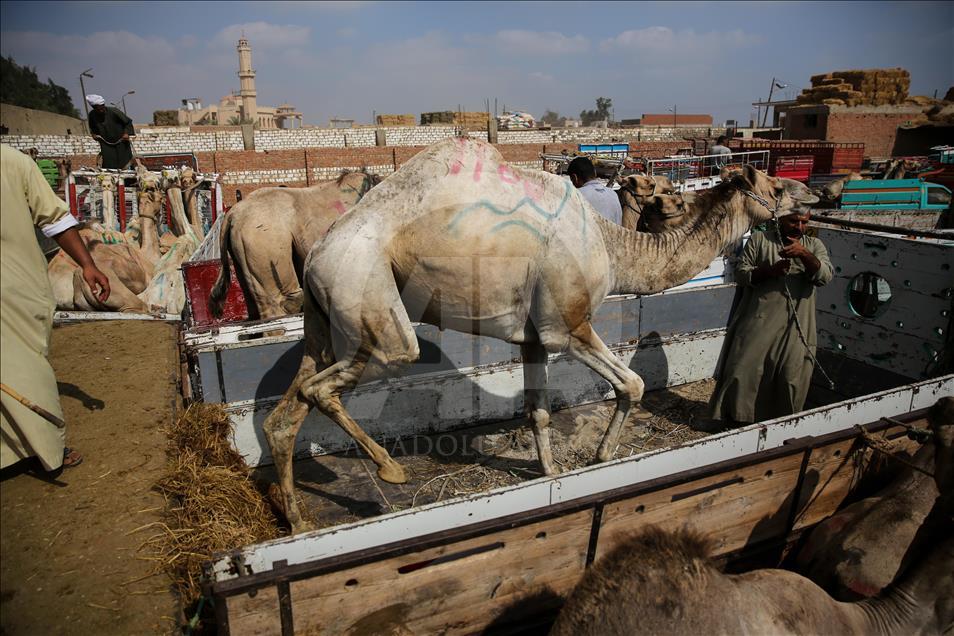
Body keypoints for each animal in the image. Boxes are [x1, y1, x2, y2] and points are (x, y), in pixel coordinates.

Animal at [260, 138, 820, 532]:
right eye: (773, 186)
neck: (613, 248)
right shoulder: (565, 326)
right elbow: (632, 384)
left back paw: (296, 518)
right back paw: (390, 471)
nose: (814, 193)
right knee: (334, 382)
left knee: (288, 408)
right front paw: (601, 458)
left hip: (324, 316)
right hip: (368, 291)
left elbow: (539, 410)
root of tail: (316, 253)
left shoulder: (533, 338)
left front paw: (549, 476)